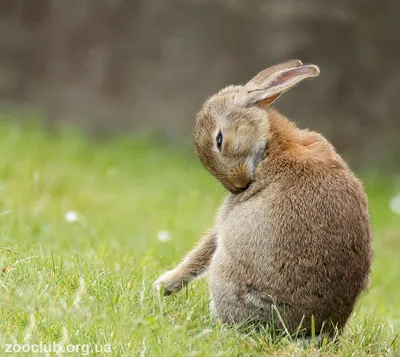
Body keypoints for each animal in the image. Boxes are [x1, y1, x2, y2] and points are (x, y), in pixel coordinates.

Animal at [155, 59, 374, 336]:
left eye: (219, 139)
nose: (238, 186)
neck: (271, 142)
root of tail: (306, 331)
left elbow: (205, 248)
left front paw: (163, 285)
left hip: (227, 274)